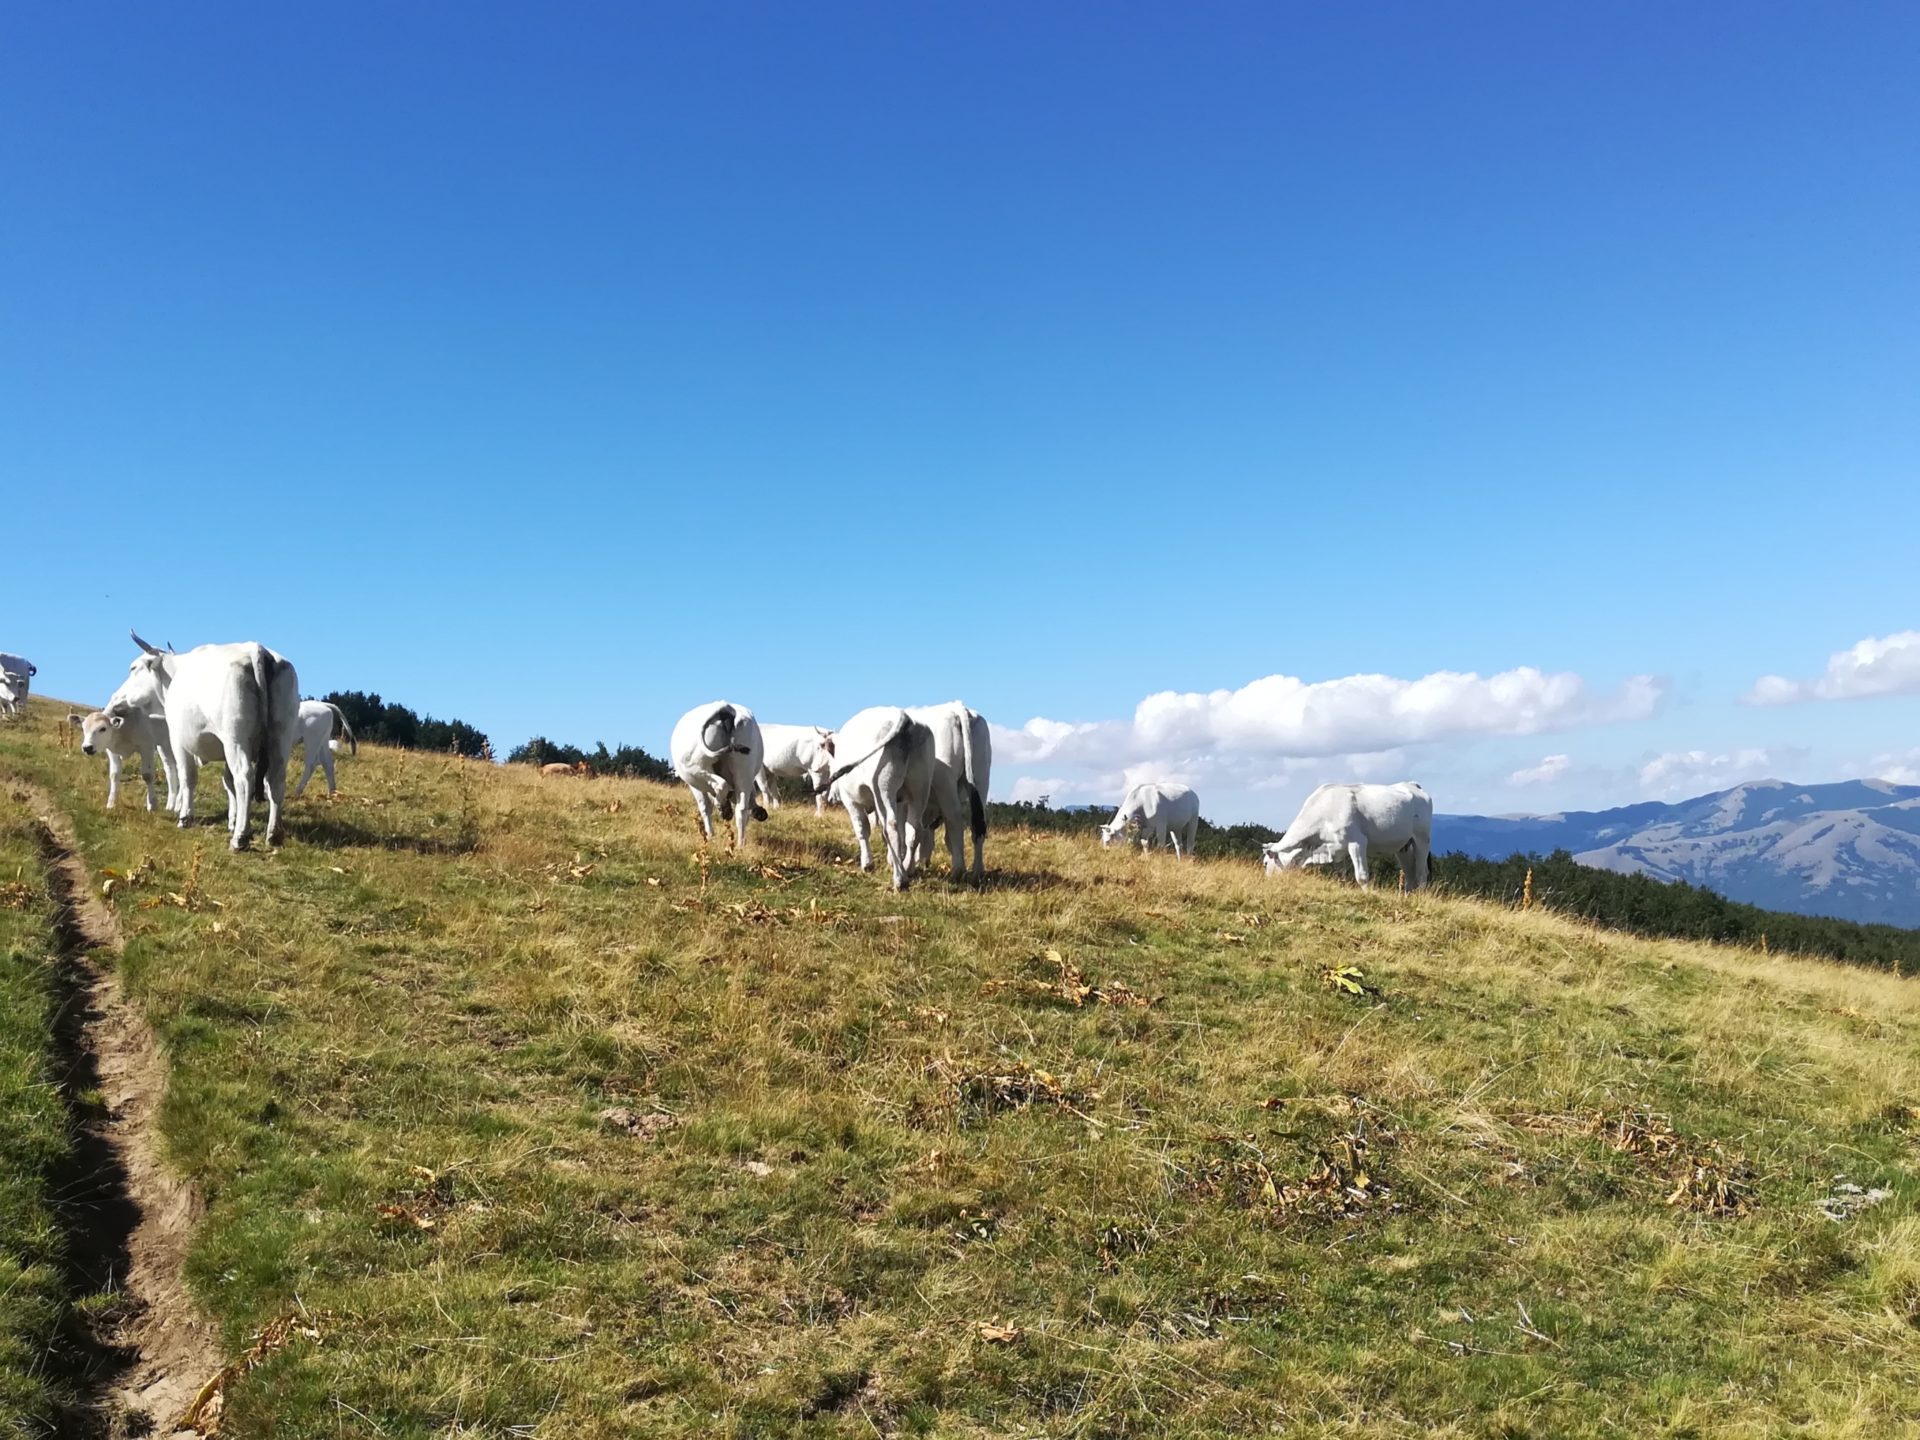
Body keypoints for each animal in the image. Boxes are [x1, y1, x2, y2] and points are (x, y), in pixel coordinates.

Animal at [128, 631, 300, 850]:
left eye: (133, 668)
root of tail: (257, 649)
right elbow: (228, 782)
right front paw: (232, 820)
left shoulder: (179, 740)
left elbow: (188, 777)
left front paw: (185, 817)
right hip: (281, 736)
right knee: (275, 779)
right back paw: (273, 834)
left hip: (236, 738)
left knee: (245, 778)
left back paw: (240, 837)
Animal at [670, 701, 767, 847]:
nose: (761, 813)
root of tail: (724, 707)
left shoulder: (695, 786)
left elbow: (705, 807)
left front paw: (710, 835)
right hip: (744, 770)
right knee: (741, 809)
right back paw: (740, 844)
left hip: (695, 767)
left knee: (720, 785)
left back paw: (724, 809)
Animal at [824, 706, 944, 891]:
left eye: (829, 766)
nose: (831, 798)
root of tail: (906, 717)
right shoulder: (900, 801)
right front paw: (892, 860)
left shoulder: (851, 800)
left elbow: (862, 828)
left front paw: (867, 864)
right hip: (920, 788)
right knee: (913, 829)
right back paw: (908, 869)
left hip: (883, 788)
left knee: (891, 825)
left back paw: (900, 880)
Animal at [906, 702, 991, 879]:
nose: (923, 862)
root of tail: (958, 707)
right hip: (981, 777)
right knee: (978, 826)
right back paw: (977, 870)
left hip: (945, 780)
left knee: (955, 820)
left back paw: (958, 870)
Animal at [1261, 781, 1433, 890]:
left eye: (1265, 863)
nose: (1267, 883)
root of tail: (1411, 784)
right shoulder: (1336, 849)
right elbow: (1341, 877)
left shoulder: (1357, 842)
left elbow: (1362, 876)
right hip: (1403, 847)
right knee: (1410, 875)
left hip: (1422, 839)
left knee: (1421, 873)